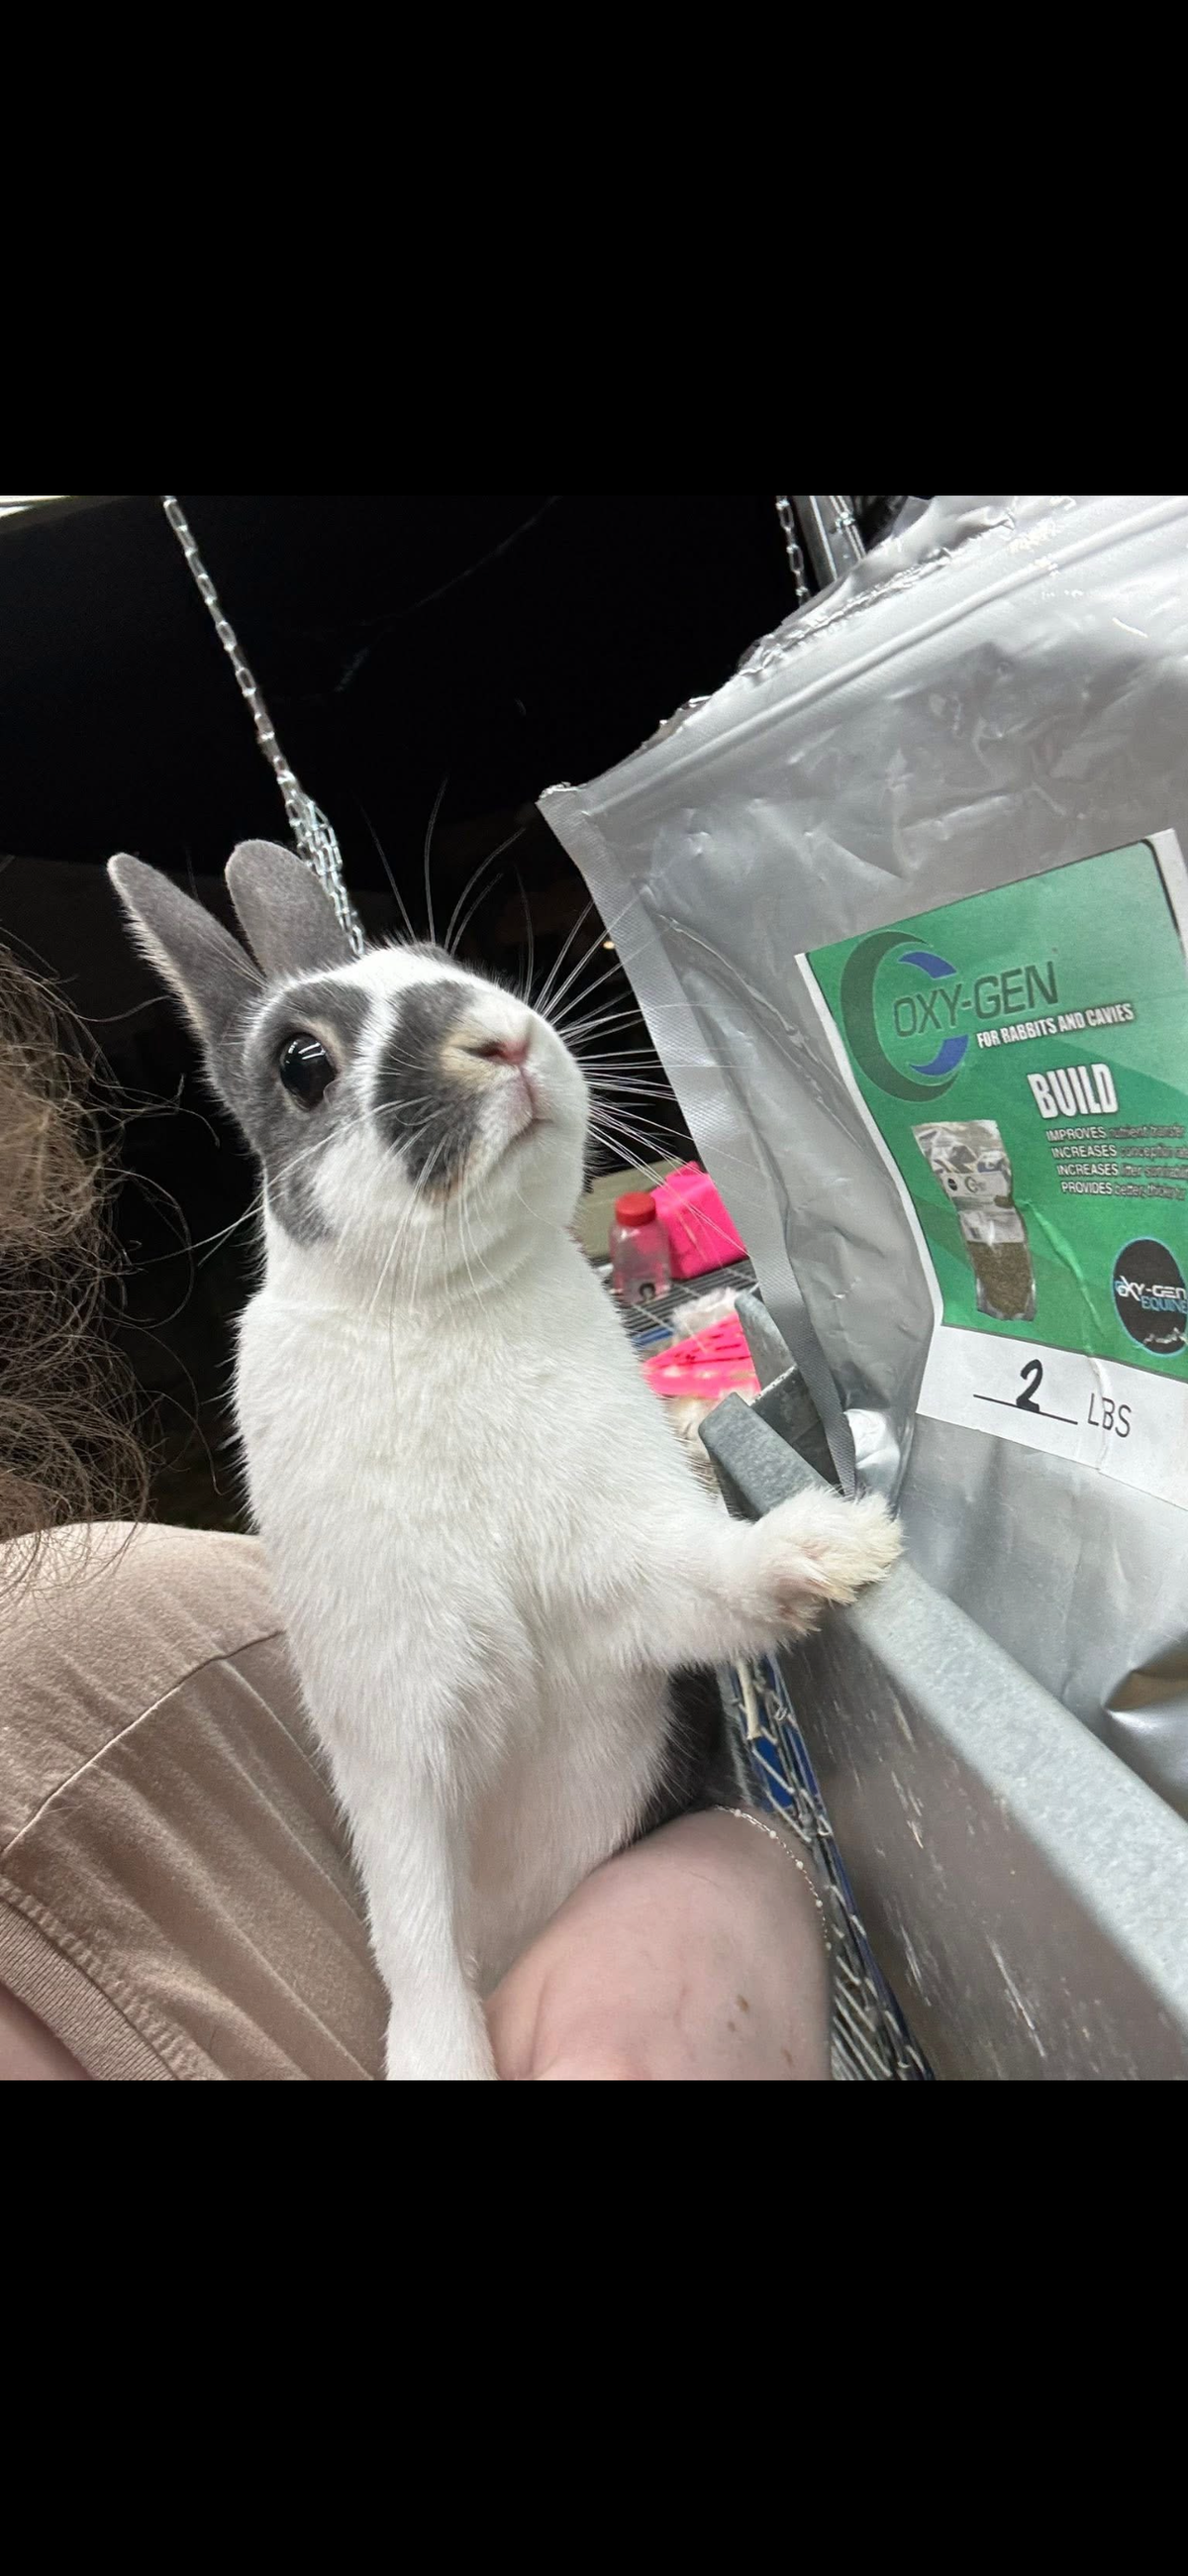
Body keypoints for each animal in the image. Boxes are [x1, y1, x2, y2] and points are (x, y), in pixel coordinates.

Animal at [108, 841, 902, 2081]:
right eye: (301, 1062)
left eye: (437, 959)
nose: (504, 1038)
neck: (441, 1307)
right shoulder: (395, 1732)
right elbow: (415, 1928)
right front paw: (440, 2057)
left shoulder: (630, 1579)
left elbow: (715, 1581)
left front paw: (834, 1543)